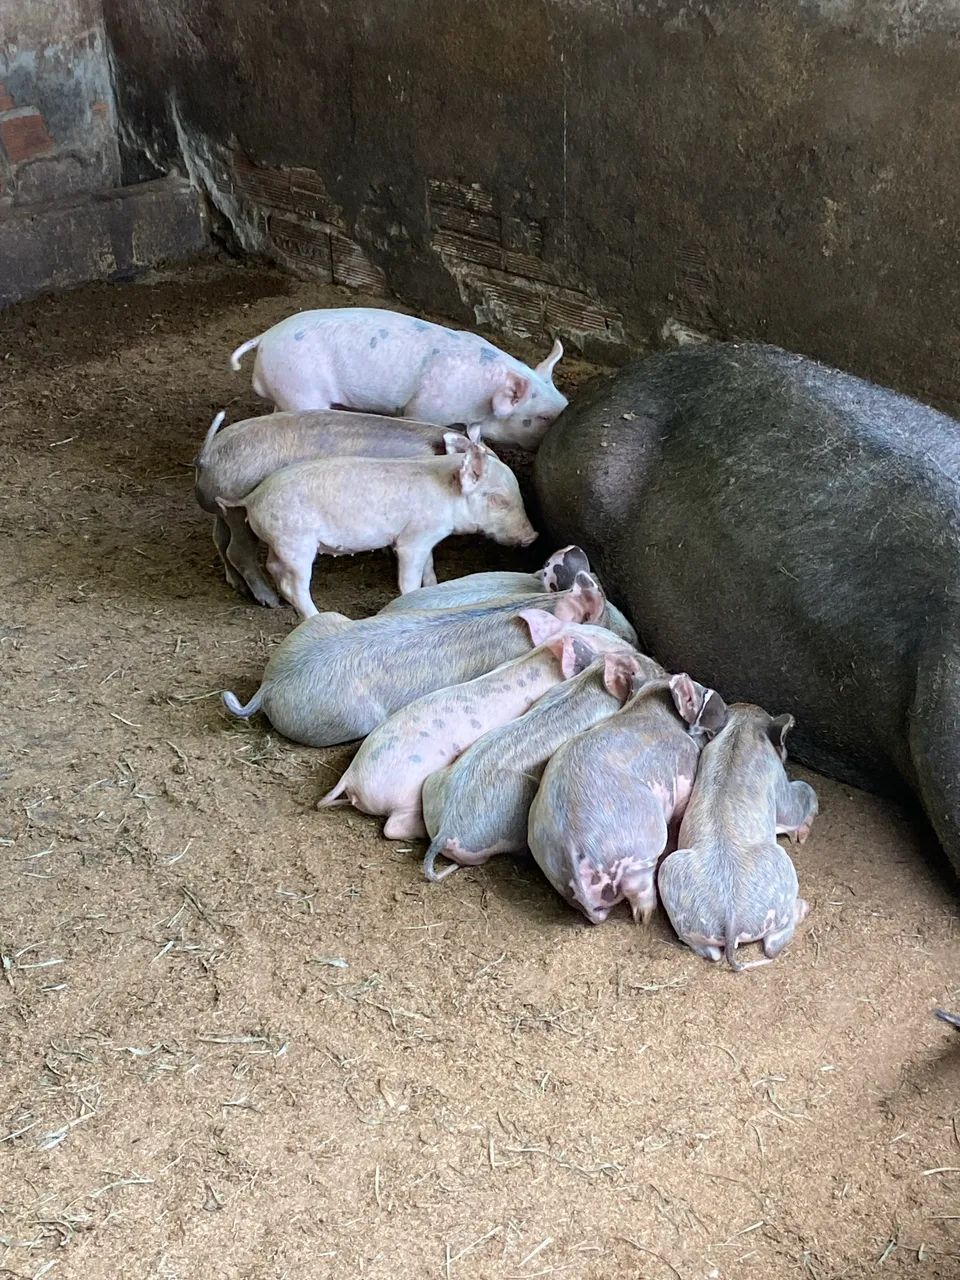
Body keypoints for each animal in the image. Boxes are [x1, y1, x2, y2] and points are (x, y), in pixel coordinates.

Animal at [195, 407, 466, 606]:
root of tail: (206, 456)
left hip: (224, 513)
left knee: (219, 540)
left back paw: (237, 585)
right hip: (238, 514)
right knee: (238, 552)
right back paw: (270, 601)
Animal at [217, 434, 537, 616]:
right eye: (498, 500)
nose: (533, 536)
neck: (447, 495)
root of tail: (252, 499)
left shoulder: (428, 539)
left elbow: (430, 569)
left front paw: (433, 587)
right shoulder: (411, 539)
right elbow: (408, 578)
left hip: (282, 543)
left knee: (273, 567)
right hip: (296, 543)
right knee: (293, 584)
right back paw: (312, 614)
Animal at [317, 615, 637, 839]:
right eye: (608, 646)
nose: (635, 649)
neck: (544, 661)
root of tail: (352, 777)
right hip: (404, 794)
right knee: (392, 827)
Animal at [528, 674, 728, 926]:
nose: (727, 710)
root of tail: (571, 847)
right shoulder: (685, 776)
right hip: (642, 849)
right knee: (639, 888)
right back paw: (646, 917)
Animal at [656, 703, 819, 971]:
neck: (741, 729)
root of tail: (730, 917)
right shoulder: (779, 782)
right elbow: (799, 800)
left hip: (674, 883)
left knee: (709, 952)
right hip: (781, 868)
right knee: (773, 944)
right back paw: (804, 907)